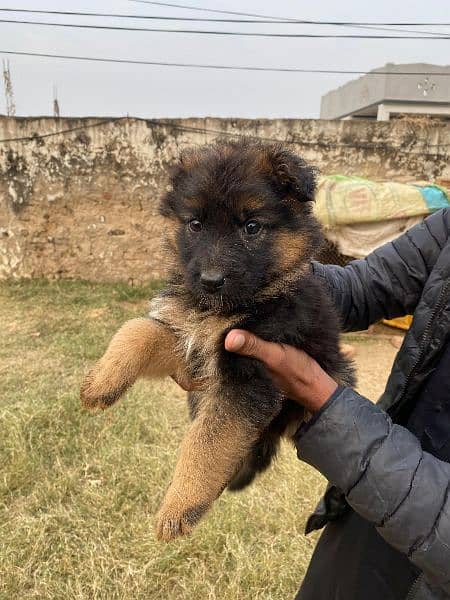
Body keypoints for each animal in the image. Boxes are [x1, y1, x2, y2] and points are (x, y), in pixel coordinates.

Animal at [81, 142, 356, 544]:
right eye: (195, 225)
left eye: (251, 227)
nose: (210, 281)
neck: (222, 309)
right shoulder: (187, 338)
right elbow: (137, 330)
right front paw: (101, 382)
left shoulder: (248, 380)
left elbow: (208, 442)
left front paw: (179, 505)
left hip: (335, 376)